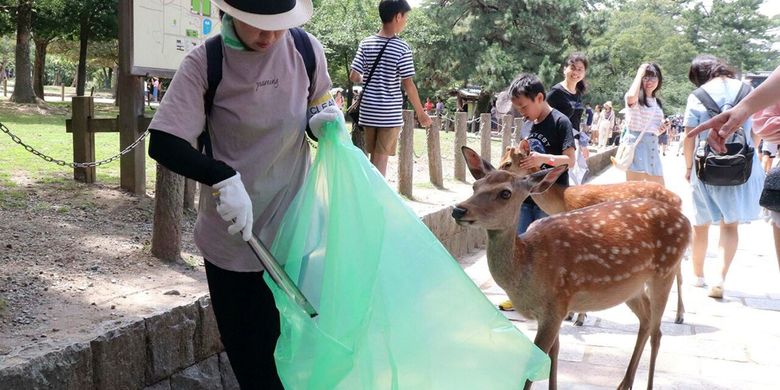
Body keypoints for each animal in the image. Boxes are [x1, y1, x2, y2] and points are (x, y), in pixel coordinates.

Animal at [484, 142, 684, 322]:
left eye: (508, 163)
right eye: (500, 159)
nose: (488, 175)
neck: (562, 201)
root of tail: (678, 199)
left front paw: (578, 317)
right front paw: (574, 315)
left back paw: (679, 315)